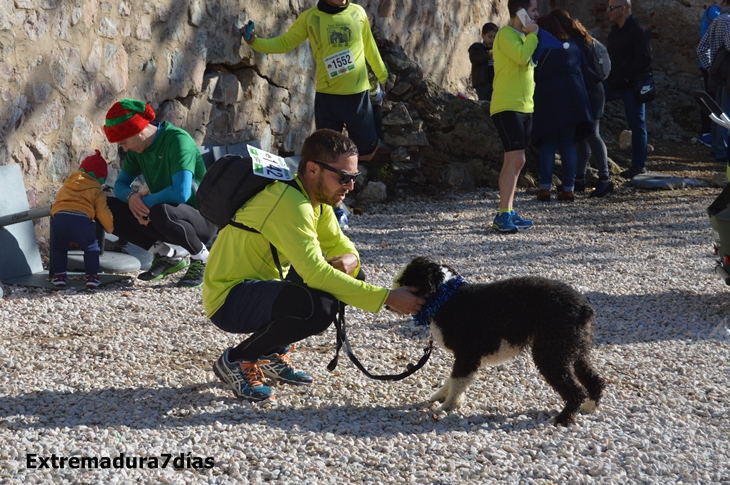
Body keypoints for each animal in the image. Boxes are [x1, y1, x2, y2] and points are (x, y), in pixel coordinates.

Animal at [392, 258, 604, 424]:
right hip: (573, 350)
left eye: (405, 281)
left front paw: (448, 405)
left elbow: (457, 381)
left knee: (575, 390)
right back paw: (589, 407)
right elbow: (452, 380)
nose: (388, 304)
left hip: (551, 353)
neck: (445, 296)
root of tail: (583, 307)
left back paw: (563, 417)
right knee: (595, 380)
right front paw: (440, 396)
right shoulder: (465, 357)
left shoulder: (467, 355)